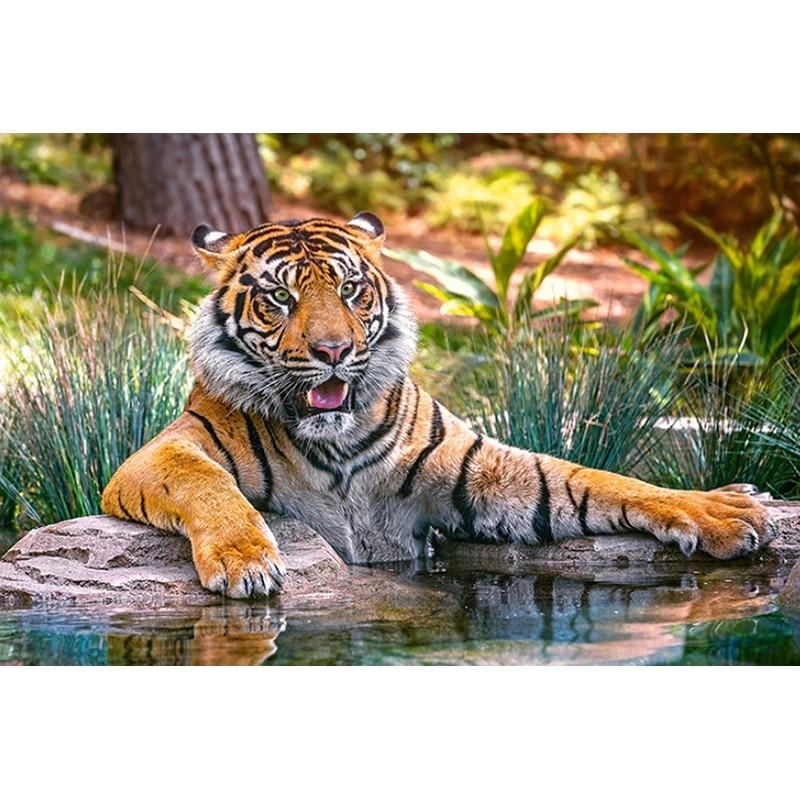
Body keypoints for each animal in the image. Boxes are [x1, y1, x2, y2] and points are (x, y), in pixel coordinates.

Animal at [101, 211, 776, 598]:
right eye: (280, 297)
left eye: (350, 288)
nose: (333, 350)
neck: (334, 440)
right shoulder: (161, 451)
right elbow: (205, 482)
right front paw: (246, 562)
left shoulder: (482, 473)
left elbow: (600, 480)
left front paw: (726, 508)